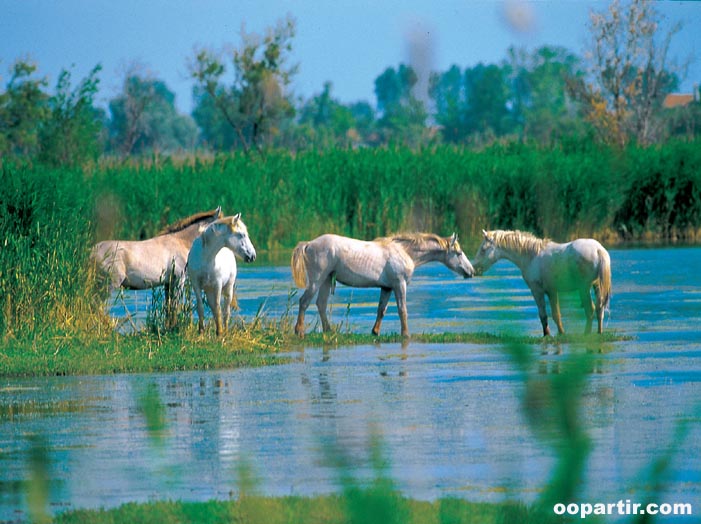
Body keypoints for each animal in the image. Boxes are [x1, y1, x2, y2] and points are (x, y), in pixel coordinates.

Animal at [290, 231, 476, 338]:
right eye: (459, 253)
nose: (471, 271)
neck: (405, 251)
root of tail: (309, 244)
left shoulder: (386, 288)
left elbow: (381, 310)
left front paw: (375, 332)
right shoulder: (399, 284)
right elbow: (402, 310)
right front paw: (406, 334)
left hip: (327, 280)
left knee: (320, 304)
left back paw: (328, 330)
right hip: (316, 281)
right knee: (304, 302)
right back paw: (299, 330)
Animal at [470, 230, 612, 336]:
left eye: (483, 249)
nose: (474, 269)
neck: (531, 255)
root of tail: (598, 250)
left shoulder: (537, 291)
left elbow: (545, 315)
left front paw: (549, 335)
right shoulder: (552, 291)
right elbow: (555, 315)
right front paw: (559, 334)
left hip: (584, 288)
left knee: (591, 310)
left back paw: (586, 335)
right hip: (596, 286)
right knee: (599, 308)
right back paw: (599, 333)